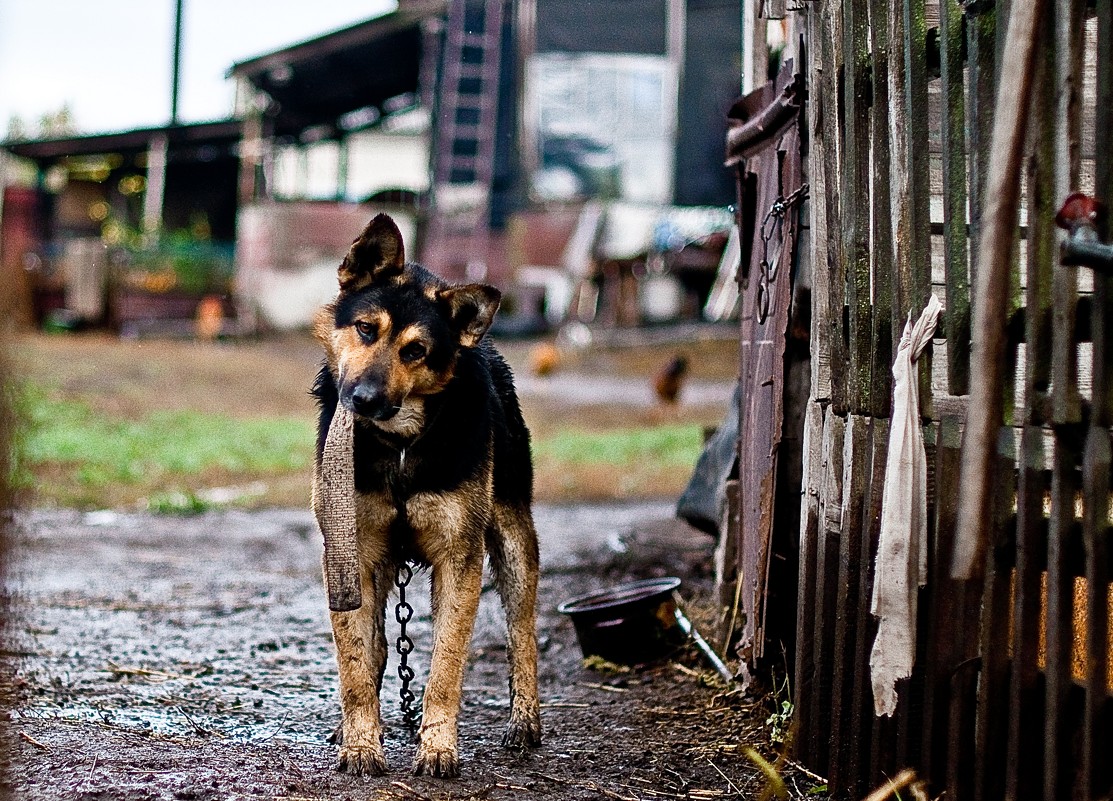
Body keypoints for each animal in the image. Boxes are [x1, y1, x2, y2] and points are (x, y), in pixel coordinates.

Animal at [311, 215, 540, 778]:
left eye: (415, 351)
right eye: (365, 329)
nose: (363, 400)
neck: (399, 445)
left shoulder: (460, 558)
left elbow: (445, 669)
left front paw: (437, 747)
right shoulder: (349, 553)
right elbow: (355, 664)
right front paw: (361, 745)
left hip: (515, 542)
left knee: (522, 633)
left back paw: (525, 720)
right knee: (372, 648)